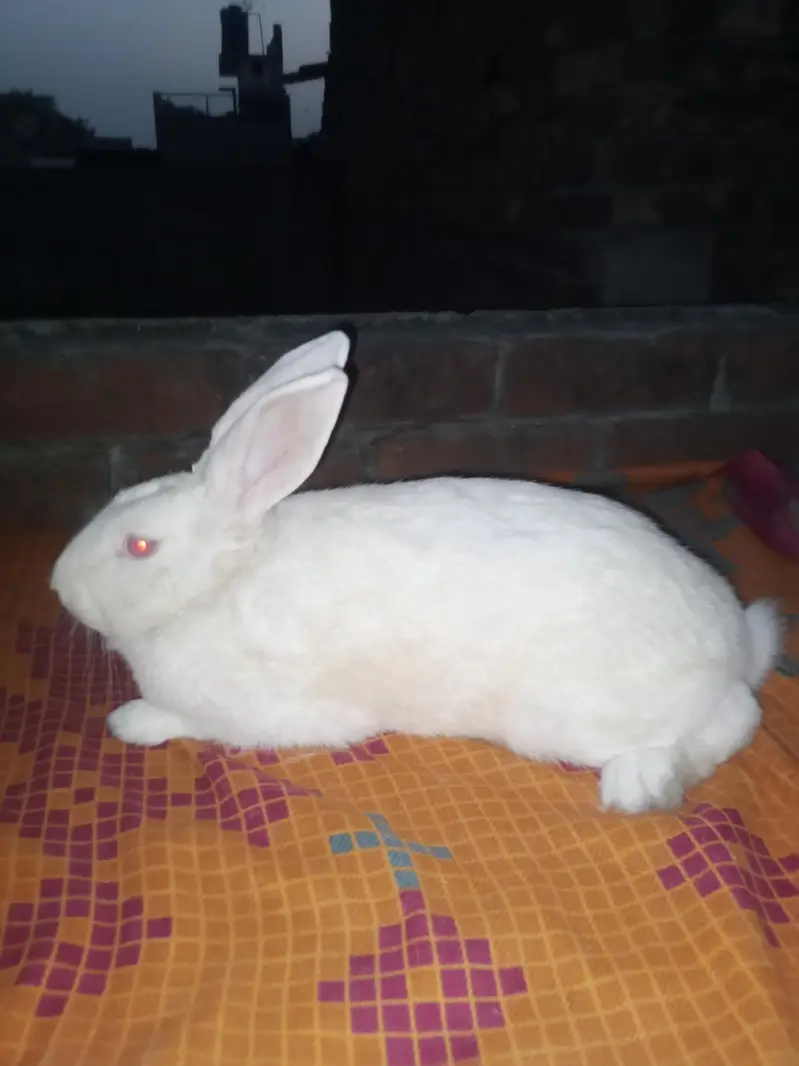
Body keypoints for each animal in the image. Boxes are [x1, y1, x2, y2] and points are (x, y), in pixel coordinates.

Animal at [50, 330, 781, 815]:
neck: (218, 587)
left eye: (138, 547)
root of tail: (735, 640)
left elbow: (183, 719)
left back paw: (640, 784)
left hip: (587, 714)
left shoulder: (261, 713)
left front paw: (130, 721)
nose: (58, 587)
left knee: (735, 716)